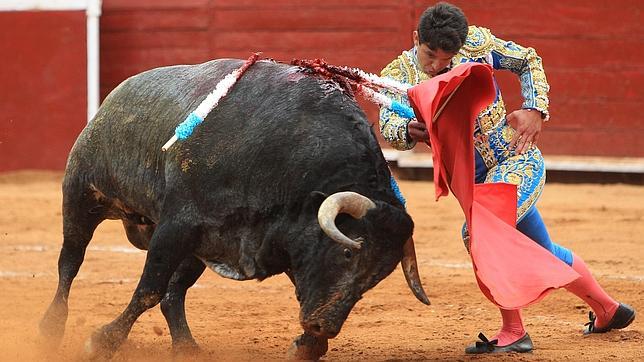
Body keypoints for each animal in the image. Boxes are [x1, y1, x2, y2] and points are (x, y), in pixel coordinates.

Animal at [40, 59, 430, 360]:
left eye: (378, 276)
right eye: (348, 254)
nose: (325, 325)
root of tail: (114, 97)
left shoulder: (280, 240)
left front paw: (308, 346)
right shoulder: (177, 225)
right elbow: (148, 289)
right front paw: (100, 343)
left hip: (196, 252)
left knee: (173, 295)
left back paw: (187, 348)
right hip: (81, 196)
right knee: (70, 262)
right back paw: (50, 328)